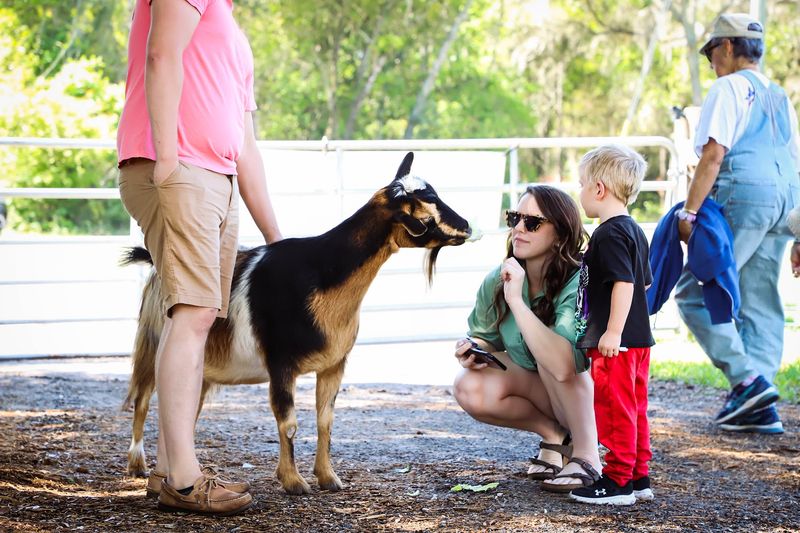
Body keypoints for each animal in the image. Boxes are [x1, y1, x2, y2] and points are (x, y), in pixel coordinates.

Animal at [122, 152, 471, 495]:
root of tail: (155, 264)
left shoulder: (334, 364)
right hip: (153, 343)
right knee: (142, 400)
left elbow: (325, 420)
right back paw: (138, 465)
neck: (320, 274)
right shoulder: (281, 362)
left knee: (183, 408)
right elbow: (288, 423)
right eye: (424, 212)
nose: (467, 225)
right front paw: (293, 481)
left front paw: (328, 477)